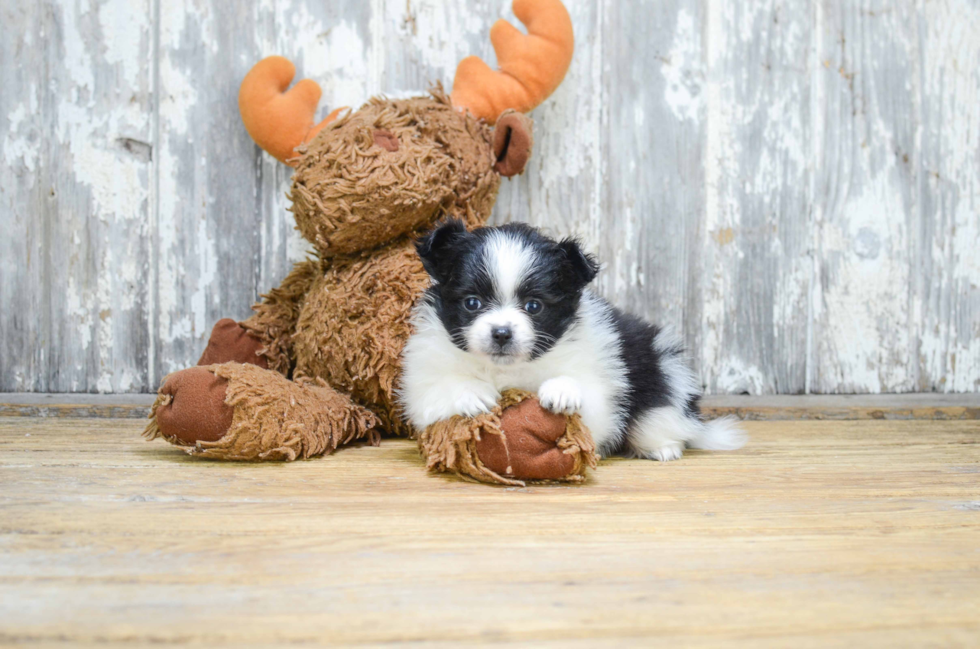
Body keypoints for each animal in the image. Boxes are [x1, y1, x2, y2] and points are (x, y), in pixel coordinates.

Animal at [398, 220, 744, 458]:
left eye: (534, 306)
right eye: (472, 303)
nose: (502, 333)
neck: (506, 370)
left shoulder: (601, 391)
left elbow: (587, 401)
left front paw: (562, 389)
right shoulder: (422, 382)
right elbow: (435, 392)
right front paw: (470, 393)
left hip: (662, 373)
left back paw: (662, 447)